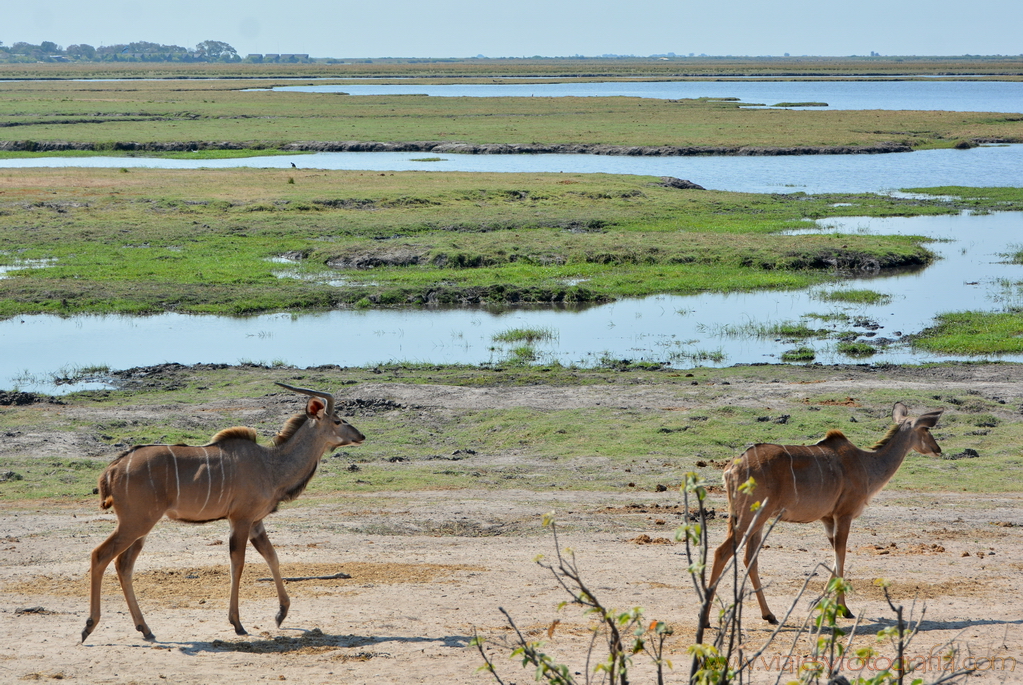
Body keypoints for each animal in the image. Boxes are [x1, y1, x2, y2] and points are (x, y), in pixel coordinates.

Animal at [81, 384, 366, 646]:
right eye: (338, 420)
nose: (361, 435)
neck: (271, 465)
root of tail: (113, 469)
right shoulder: (241, 519)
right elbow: (237, 564)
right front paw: (238, 624)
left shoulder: (256, 523)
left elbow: (272, 557)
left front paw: (281, 614)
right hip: (135, 523)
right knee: (100, 555)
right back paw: (89, 626)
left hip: (141, 527)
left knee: (123, 564)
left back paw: (145, 629)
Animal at [703, 402, 941, 629]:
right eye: (926, 429)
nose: (938, 449)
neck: (867, 465)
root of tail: (731, 468)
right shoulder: (844, 514)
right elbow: (841, 556)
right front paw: (844, 609)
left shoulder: (827, 518)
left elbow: (836, 557)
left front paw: (817, 601)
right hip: (750, 517)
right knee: (722, 552)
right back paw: (705, 619)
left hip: (757, 519)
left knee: (749, 558)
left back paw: (769, 615)